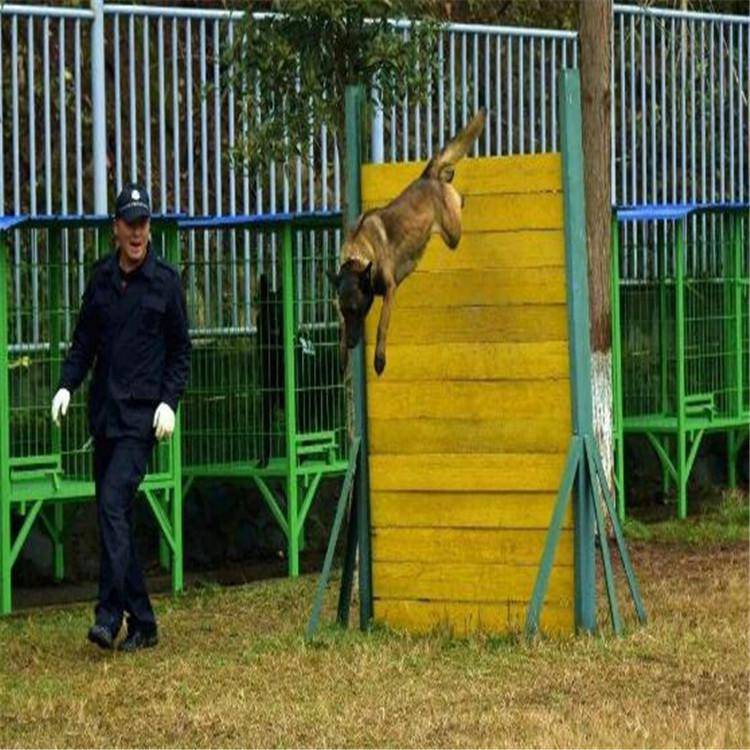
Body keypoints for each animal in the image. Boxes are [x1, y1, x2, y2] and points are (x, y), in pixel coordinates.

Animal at [328, 109, 488, 376]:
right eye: (344, 309)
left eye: (357, 309)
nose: (351, 344)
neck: (359, 254)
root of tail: (426, 177)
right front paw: (341, 354)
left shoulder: (390, 290)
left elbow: (382, 325)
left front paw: (379, 360)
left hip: (452, 232)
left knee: (457, 196)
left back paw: (453, 185)